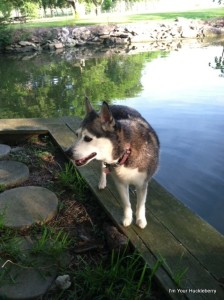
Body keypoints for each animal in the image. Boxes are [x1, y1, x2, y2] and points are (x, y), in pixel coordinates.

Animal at [66, 97, 159, 229]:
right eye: (76, 135)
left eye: (87, 138)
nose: (67, 152)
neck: (126, 150)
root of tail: (116, 105)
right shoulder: (120, 182)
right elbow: (126, 203)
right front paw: (127, 218)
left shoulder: (142, 183)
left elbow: (141, 204)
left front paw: (140, 219)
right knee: (102, 167)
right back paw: (102, 181)